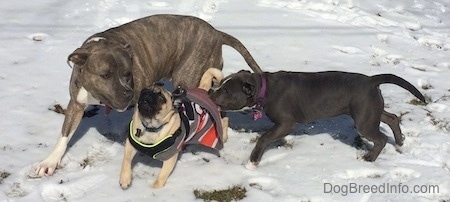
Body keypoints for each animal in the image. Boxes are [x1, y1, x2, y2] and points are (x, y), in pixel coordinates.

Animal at [35, 14, 262, 176]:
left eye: (128, 73)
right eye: (105, 75)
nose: (128, 94)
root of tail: (217, 33)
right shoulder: (76, 103)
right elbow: (64, 135)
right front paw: (49, 162)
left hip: (188, 76)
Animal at [209, 70, 428, 170]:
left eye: (226, 91)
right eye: (220, 85)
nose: (211, 93)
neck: (264, 88)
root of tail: (371, 80)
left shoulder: (286, 123)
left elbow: (264, 138)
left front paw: (252, 162)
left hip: (364, 120)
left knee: (380, 138)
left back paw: (369, 158)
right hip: (370, 111)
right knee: (391, 118)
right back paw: (399, 142)